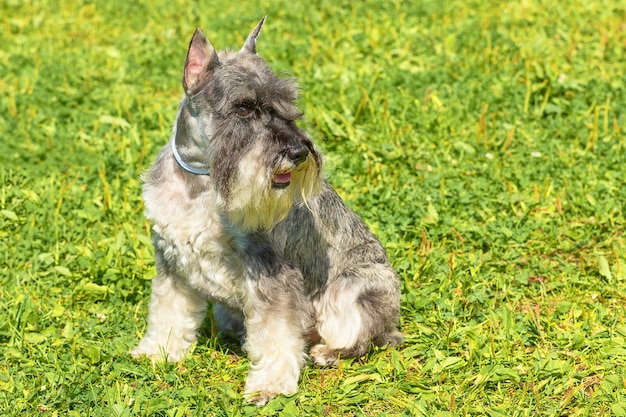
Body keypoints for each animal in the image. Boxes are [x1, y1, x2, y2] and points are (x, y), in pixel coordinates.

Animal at [133, 17, 404, 404]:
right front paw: (158, 351)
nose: (299, 151)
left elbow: (277, 331)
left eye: (288, 102)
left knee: (365, 336)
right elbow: (168, 309)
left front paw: (270, 385)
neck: (202, 182)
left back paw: (327, 352)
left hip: (356, 289)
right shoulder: (171, 260)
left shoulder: (271, 269)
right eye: (244, 107)